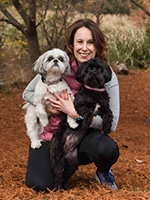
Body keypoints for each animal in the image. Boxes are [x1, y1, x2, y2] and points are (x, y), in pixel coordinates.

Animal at [50, 57, 112, 189]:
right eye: (89, 68)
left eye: (99, 68)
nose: (94, 73)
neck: (94, 91)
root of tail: (66, 150)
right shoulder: (78, 105)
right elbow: (87, 112)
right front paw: (85, 123)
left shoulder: (105, 106)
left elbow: (109, 114)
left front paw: (107, 128)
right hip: (56, 154)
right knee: (57, 172)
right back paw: (58, 187)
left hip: (72, 162)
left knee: (66, 172)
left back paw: (63, 185)